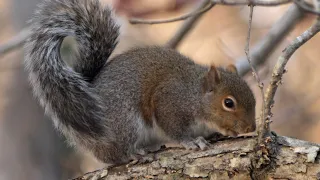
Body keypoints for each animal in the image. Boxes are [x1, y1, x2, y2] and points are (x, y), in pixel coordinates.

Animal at [23, 0, 256, 165]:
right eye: (228, 103)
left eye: (253, 99)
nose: (251, 127)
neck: (194, 94)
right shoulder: (169, 102)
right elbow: (174, 129)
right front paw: (191, 142)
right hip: (125, 122)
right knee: (115, 155)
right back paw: (135, 153)